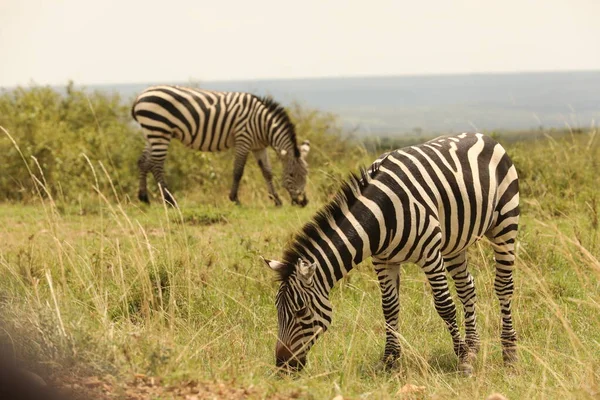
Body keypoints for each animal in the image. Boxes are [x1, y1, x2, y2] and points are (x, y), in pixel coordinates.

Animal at [131, 86, 310, 208]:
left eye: (306, 175)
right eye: (292, 175)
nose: (303, 202)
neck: (263, 125)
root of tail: (140, 96)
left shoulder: (259, 147)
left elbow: (267, 172)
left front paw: (276, 200)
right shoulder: (243, 139)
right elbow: (238, 171)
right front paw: (235, 199)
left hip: (152, 133)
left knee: (143, 162)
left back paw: (144, 198)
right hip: (159, 130)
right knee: (156, 165)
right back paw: (170, 201)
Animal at [262, 133, 520, 374]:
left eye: (300, 311)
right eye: (277, 310)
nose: (282, 365)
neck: (380, 213)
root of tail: (481, 135)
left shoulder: (430, 255)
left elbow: (444, 305)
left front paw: (462, 357)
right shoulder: (383, 260)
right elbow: (389, 307)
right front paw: (389, 360)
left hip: (505, 223)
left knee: (503, 286)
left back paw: (509, 353)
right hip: (455, 242)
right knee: (467, 287)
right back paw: (474, 347)